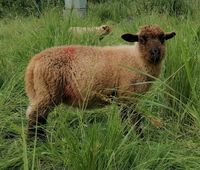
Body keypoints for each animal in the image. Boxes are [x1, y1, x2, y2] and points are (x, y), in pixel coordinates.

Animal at [24, 25, 175, 139]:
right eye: (142, 39)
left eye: (162, 39)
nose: (155, 53)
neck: (137, 58)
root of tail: (34, 62)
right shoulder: (128, 95)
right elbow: (134, 119)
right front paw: (138, 139)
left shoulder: (122, 97)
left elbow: (125, 118)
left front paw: (126, 136)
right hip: (47, 91)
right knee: (35, 117)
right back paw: (35, 143)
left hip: (41, 92)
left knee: (39, 117)